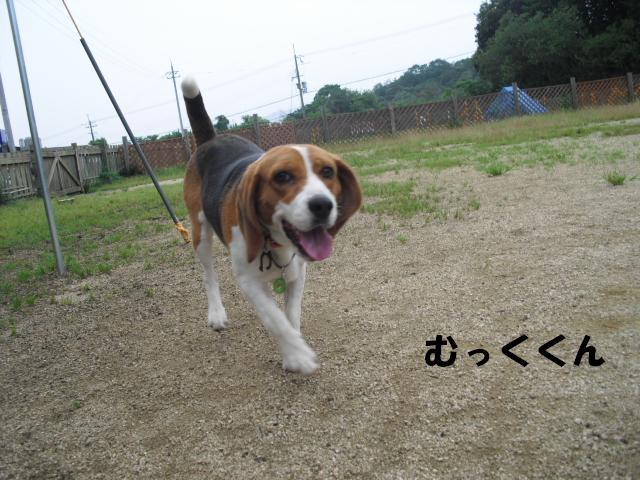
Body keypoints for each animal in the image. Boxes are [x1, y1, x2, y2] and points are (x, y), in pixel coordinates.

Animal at [181, 77, 362, 374]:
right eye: (282, 176)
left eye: (327, 172)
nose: (323, 205)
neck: (274, 241)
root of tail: (212, 140)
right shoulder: (248, 280)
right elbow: (276, 320)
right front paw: (298, 356)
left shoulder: (298, 274)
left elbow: (291, 316)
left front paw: (293, 350)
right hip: (200, 233)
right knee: (209, 275)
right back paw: (216, 313)